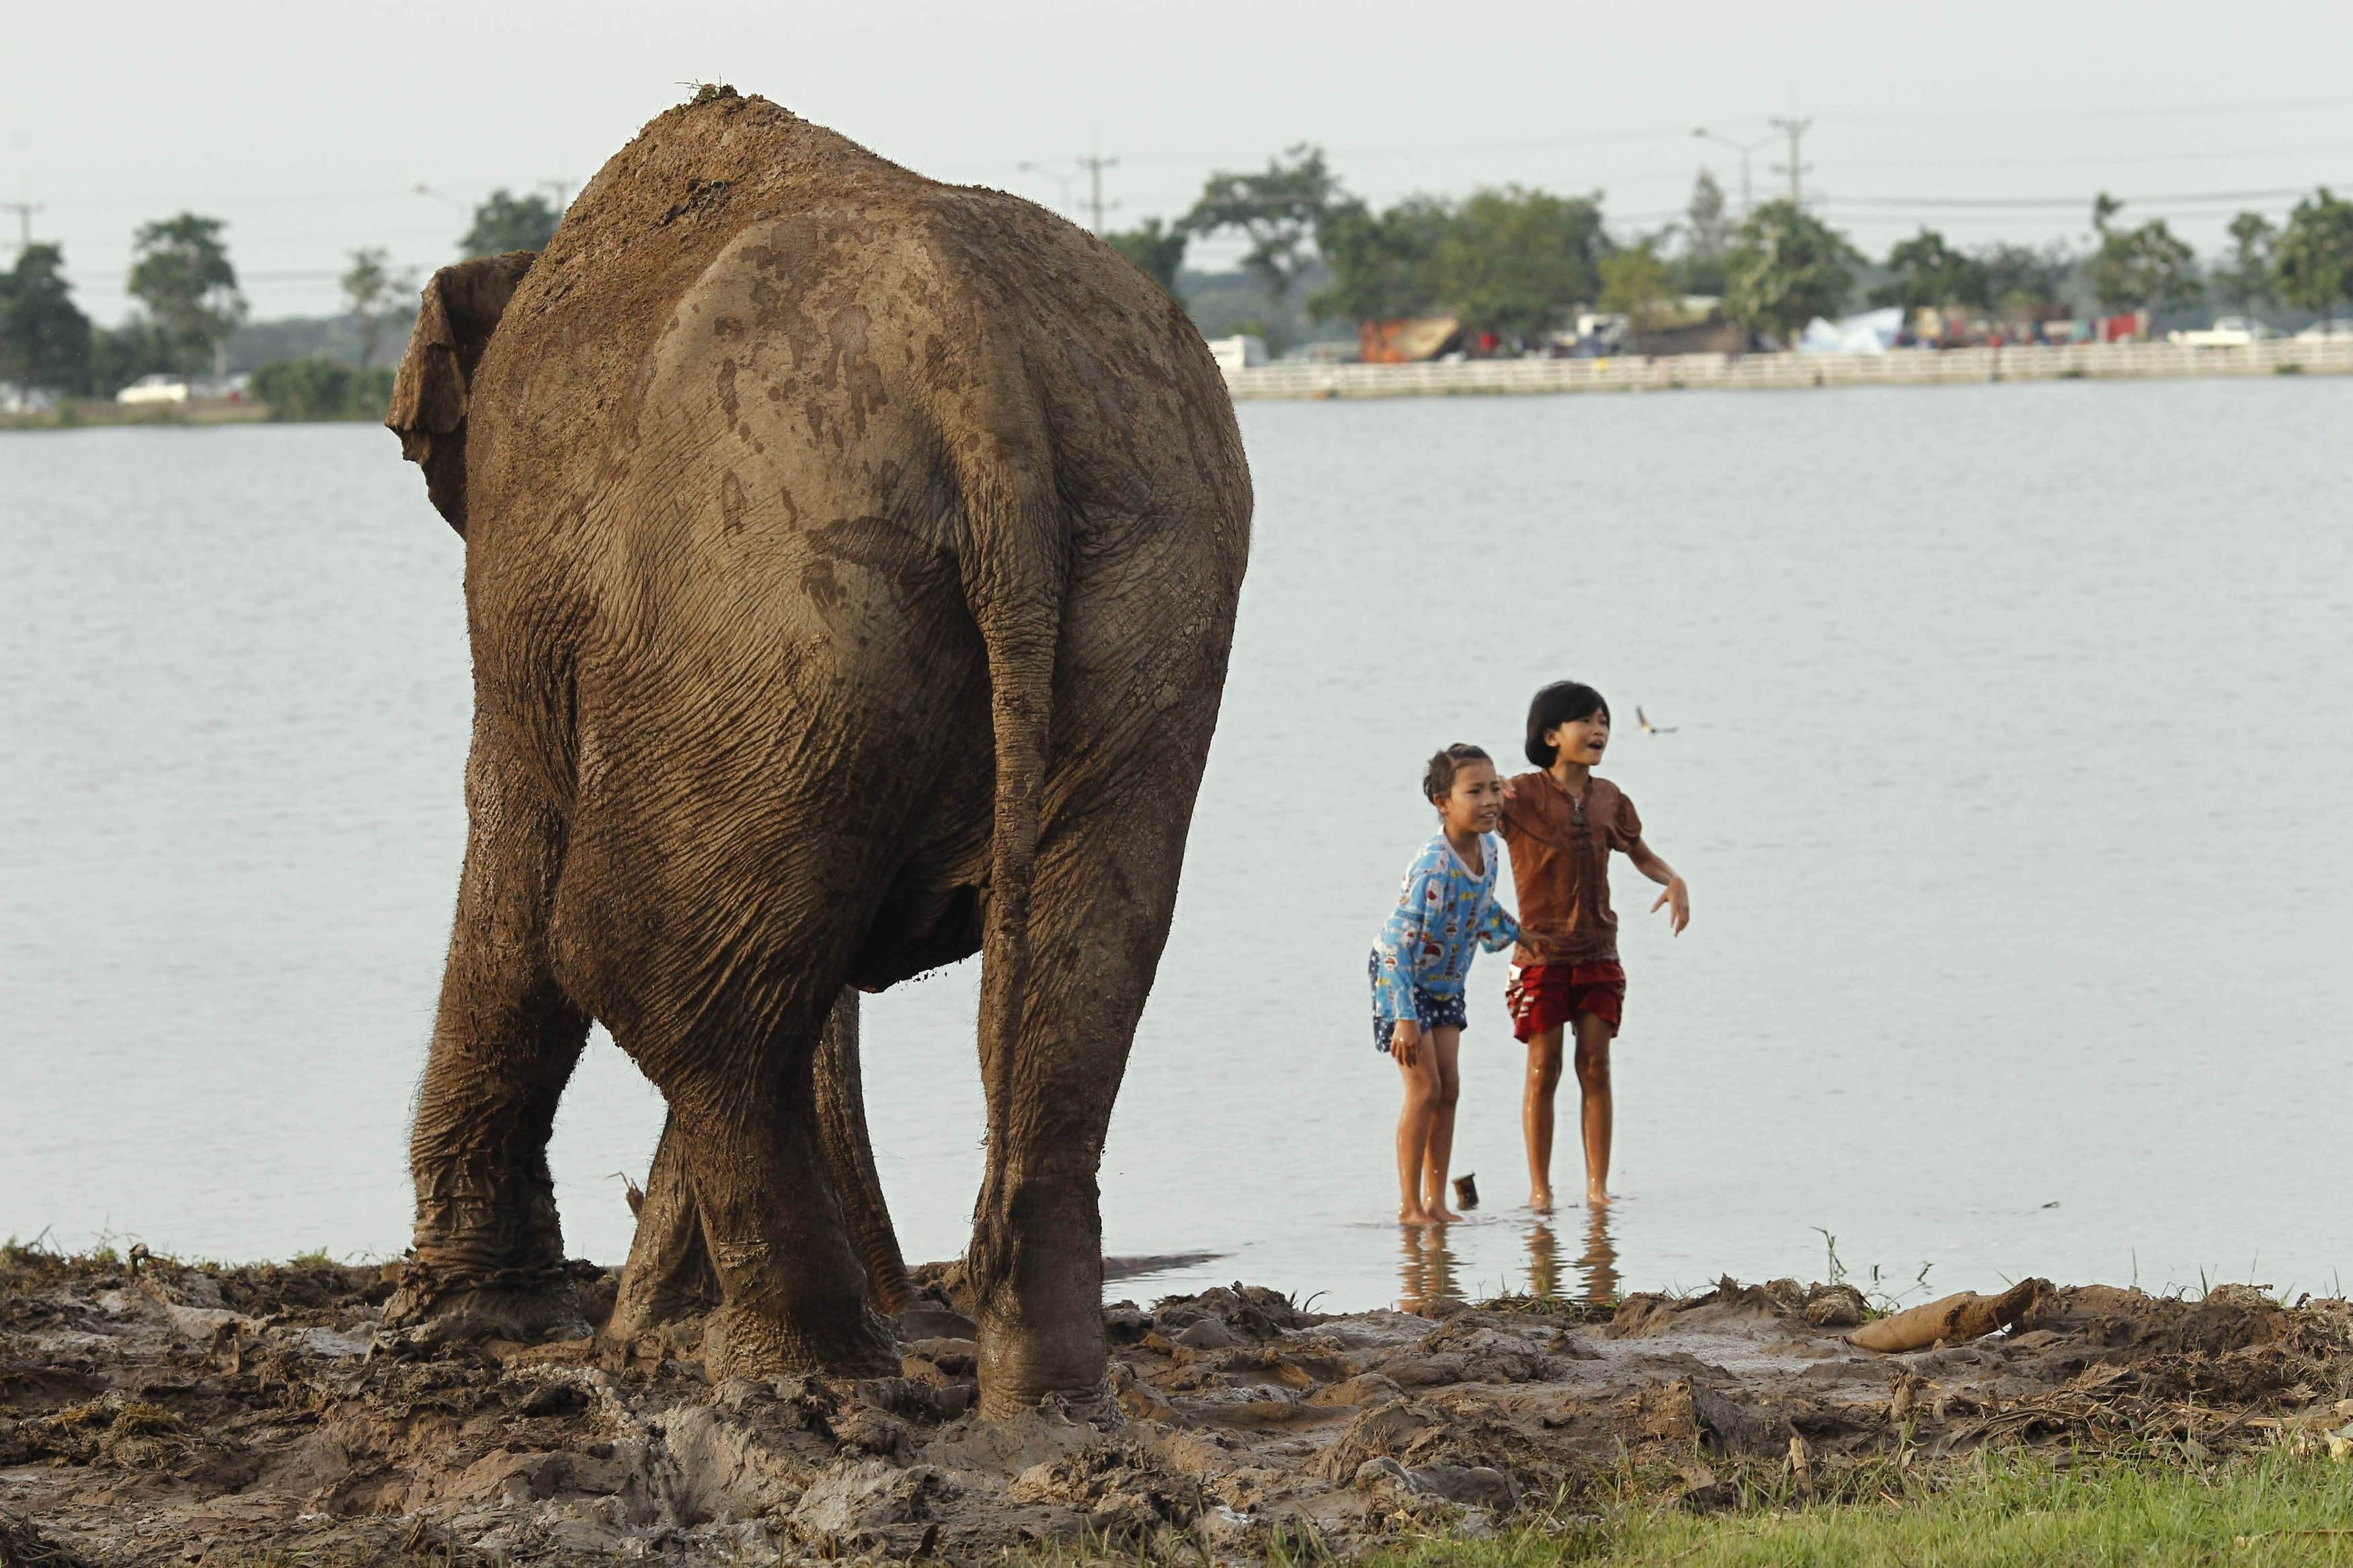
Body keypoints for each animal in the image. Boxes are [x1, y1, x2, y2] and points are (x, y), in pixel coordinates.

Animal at [381, 89, 1252, 1419]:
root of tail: (978, 367)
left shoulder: (525, 584)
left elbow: (518, 846)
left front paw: (469, 1325)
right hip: (1138, 578)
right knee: (1074, 969)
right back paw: (1033, 1394)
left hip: (779, 580)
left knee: (640, 962)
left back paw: (795, 1369)